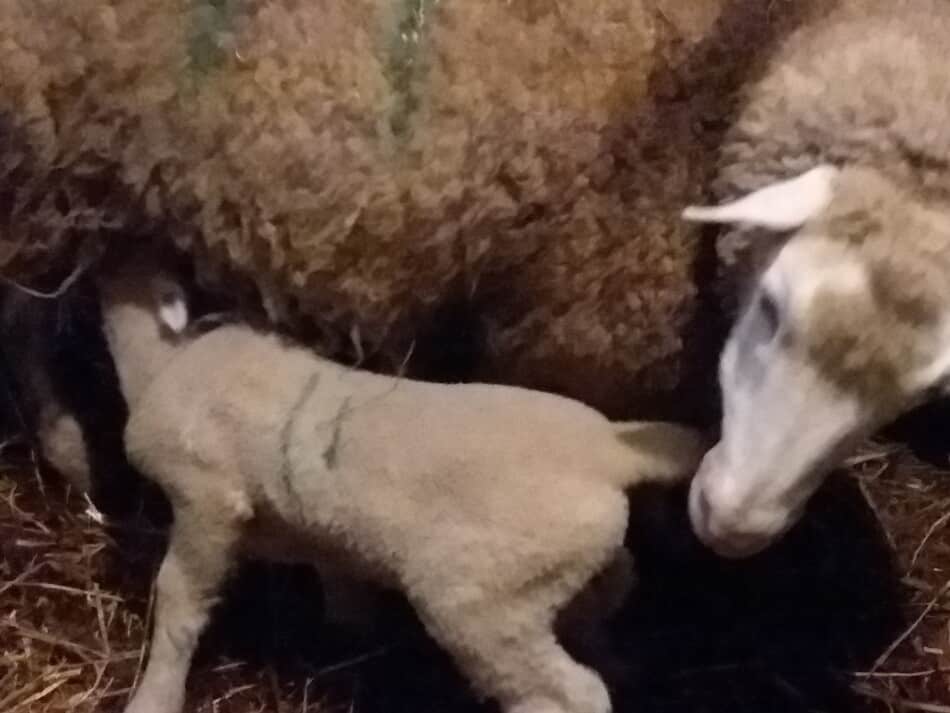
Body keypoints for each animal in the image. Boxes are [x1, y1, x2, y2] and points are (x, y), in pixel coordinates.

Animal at [113, 316, 708, 712]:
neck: (158, 359)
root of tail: (608, 449)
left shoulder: (206, 498)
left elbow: (178, 597)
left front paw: (155, 695)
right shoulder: (313, 532)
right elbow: (338, 577)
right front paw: (347, 629)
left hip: (480, 600)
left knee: (570, 693)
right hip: (560, 562)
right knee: (615, 585)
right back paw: (614, 651)